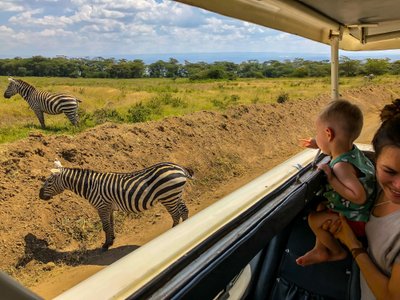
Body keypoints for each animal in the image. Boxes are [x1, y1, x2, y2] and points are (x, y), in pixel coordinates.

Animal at [38, 161, 194, 250]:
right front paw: (112, 240)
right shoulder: (109, 208)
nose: (39, 195)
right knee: (184, 211)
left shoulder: (102, 207)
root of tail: (179, 168)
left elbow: (105, 226)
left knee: (176, 215)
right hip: (175, 195)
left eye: (49, 181)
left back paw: (173, 231)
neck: (90, 186)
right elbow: (111, 224)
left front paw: (106, 245)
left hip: (168, 196)